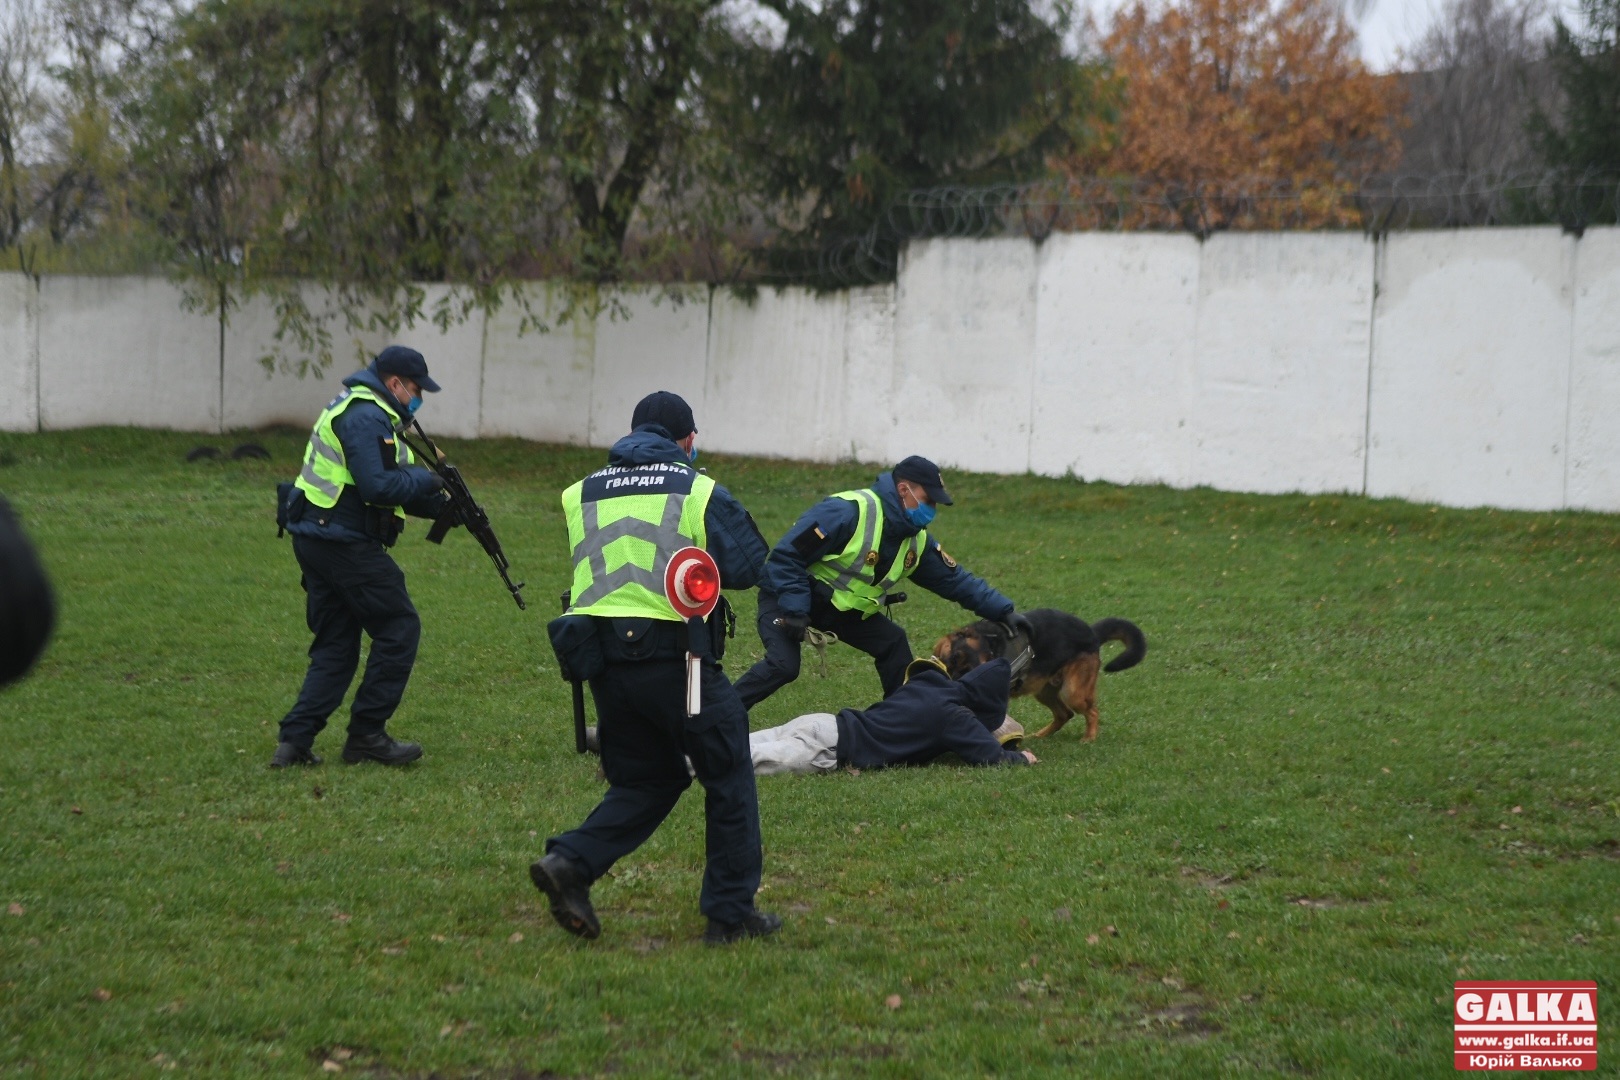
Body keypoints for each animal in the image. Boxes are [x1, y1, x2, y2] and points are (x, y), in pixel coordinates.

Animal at [933, 608, 1146, 744]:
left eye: (969, 671)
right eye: (953, 658)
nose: (950, 684)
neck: (990, 646)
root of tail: (1092, 633)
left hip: (1072, 692)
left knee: (1092, 712)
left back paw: (1089, 737)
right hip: (1044, 692)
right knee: (1064, 714)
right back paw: (1041, 736)